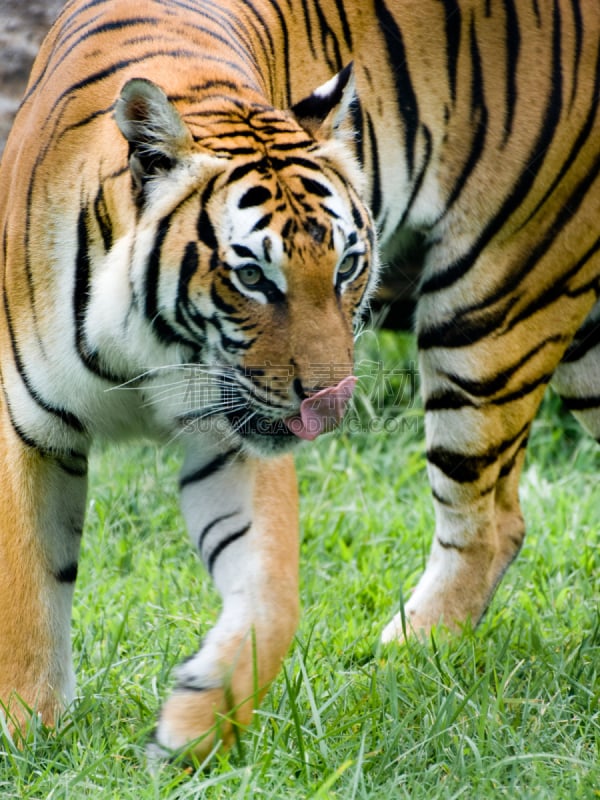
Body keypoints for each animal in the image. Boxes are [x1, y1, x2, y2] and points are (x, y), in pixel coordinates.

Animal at [0, 0, 596, 764]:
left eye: (347, 266)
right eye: (254, 276)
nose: (330, 400)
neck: (147, 350)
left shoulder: (235, 437)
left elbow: (274, 595)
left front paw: (192, 728)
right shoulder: (27, 427)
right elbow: (27, 589)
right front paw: (29, 732)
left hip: (495, 298)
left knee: (489, 520)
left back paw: (403, 656)